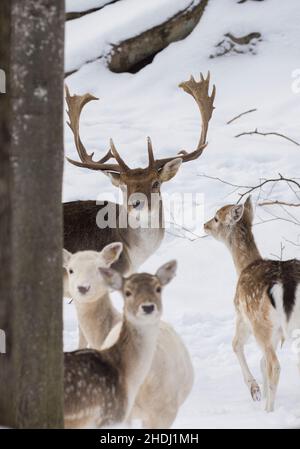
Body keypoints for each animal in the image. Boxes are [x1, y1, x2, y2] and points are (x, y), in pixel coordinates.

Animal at [205, 198, 300, 412]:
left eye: (216, 218)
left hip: (259, 322)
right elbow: (261, 361)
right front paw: (262, 392)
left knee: (275, 365)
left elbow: (235, 345)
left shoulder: (243, 314)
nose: (204, 225)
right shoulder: (276, 331)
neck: (243, 266)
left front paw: (255, 390)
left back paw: (268, 411)